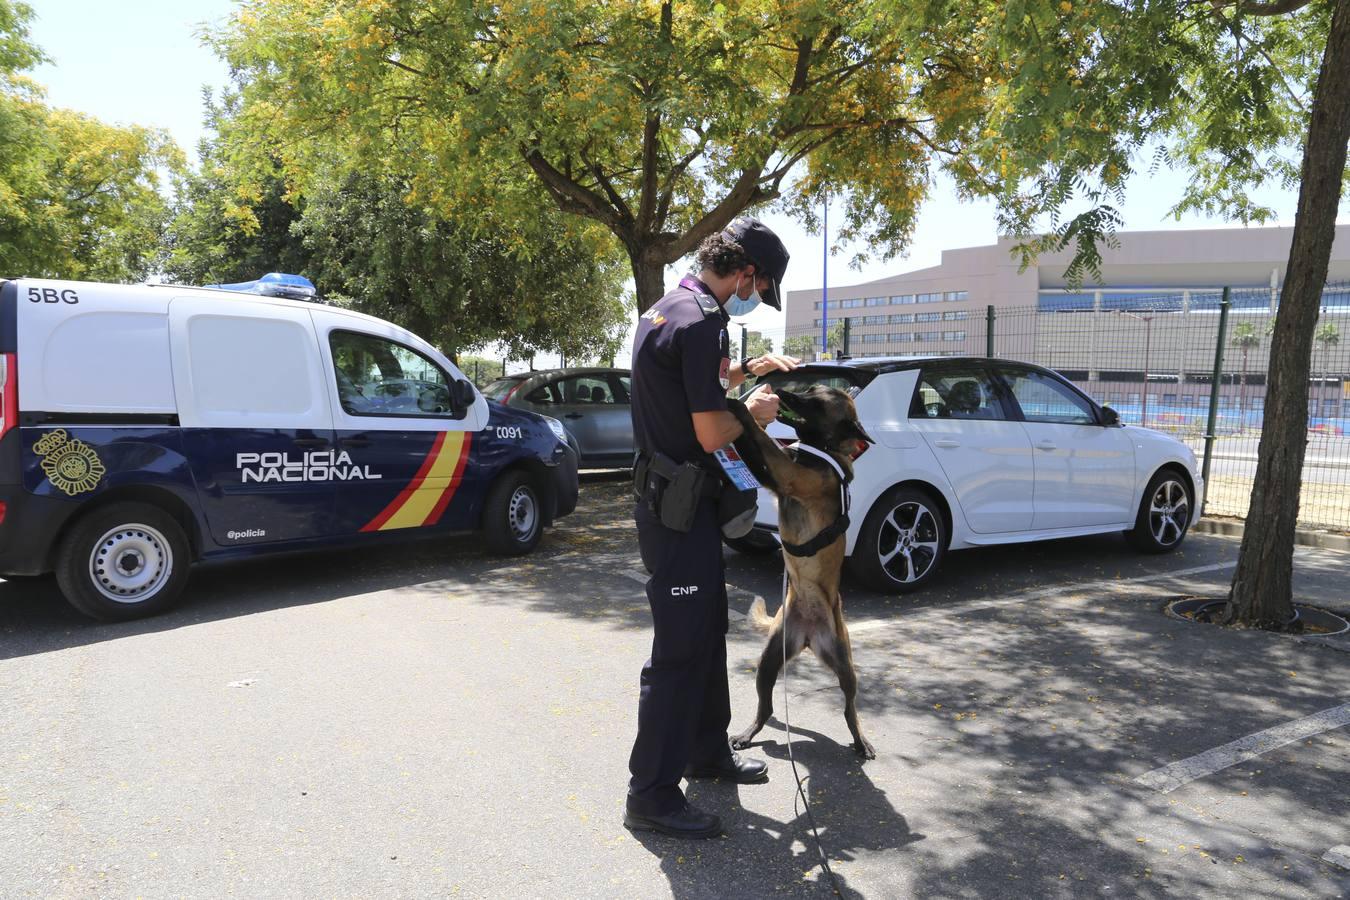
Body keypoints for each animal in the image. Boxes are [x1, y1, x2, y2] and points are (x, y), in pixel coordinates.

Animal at [723, 388, 880, 761]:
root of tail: (809, 634)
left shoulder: (786, 474)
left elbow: (757, 436)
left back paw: (860, 740)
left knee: (849, 710)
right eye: (810, 391)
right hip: (768, 662)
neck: (821, 449)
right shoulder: (777, 476)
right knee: (766, 708)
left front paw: (739, 405)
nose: (782, 391)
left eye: (816, 401)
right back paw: (747, 734)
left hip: (845, 667)